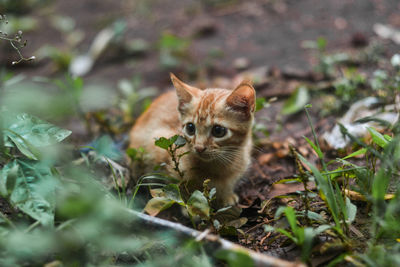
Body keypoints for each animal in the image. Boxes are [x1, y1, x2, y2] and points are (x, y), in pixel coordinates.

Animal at [130, 73, 255, 207]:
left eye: (218, 131)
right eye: (190, 128)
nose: (199, 147)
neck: (218, 166)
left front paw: (226, 196)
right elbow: (182, 190)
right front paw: (191, 206)